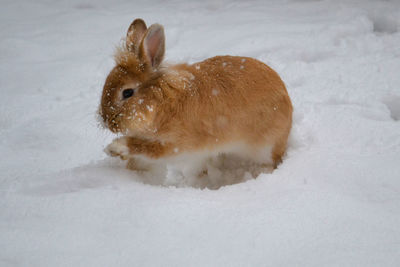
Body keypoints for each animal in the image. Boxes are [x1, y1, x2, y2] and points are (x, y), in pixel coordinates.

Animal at [100, 19, 294, 174]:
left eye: (127, 92)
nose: (106, 121)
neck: (160, 102)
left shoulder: (176, 144)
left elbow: (146, 149)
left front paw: (113, 148)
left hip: (264, 148)